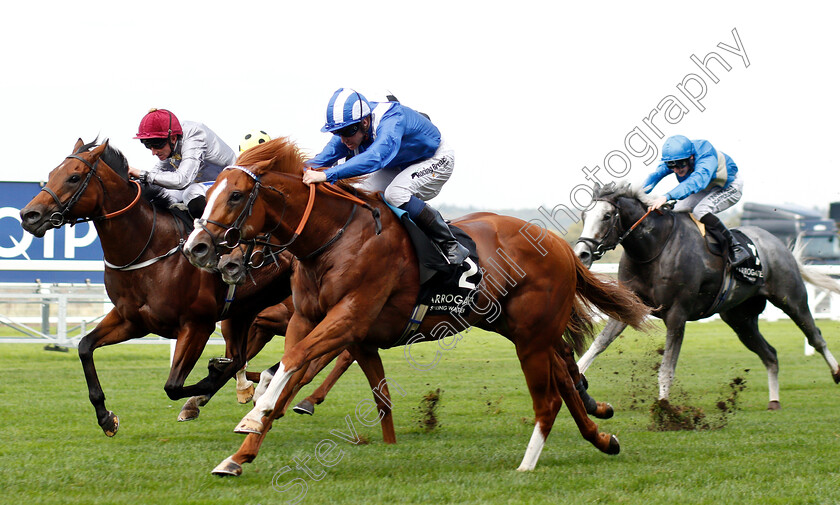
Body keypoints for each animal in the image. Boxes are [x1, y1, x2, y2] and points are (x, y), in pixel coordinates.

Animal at [182, 137, 648, 472]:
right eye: (210, 194)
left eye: (237, 196)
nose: (197, 247)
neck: (333, 239)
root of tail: (560, 244)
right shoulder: (310, 320)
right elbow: (297, 369)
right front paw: (239, 455)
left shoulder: (349, 318)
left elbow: (293, 364)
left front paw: (255, 410)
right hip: (517, 328)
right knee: (566, 381)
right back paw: (603, 439)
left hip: (531, 334)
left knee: (552, 394)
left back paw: (530, 464)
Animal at [572, 183, 840, 408]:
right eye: (584, 216)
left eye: (607, 216)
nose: (582, 254)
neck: (655, 248)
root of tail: (778, 245)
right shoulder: (629, 304)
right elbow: (599, 344)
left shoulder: (677, 314)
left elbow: (667, 366)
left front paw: (664, 409)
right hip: (740, 320)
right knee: (770, 354)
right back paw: (774, 401)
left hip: (791, 298)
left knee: (816, 337)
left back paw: (836, 372)